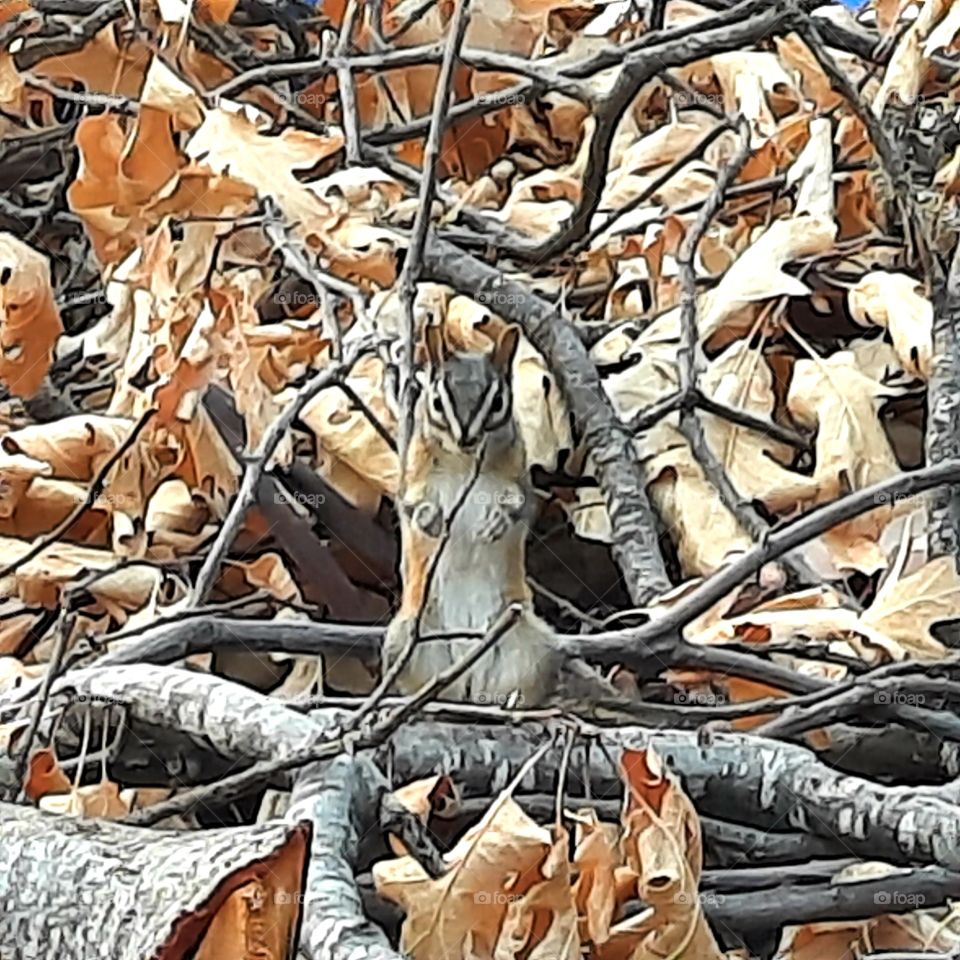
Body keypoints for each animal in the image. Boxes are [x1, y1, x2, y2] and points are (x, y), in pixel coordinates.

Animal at [382, 321, 666, 721]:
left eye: (498, 403)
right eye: (437, 402)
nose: (467, 438)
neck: (464, 462)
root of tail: (468, 680)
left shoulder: (519, 479)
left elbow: (518, 505)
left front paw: (496, 523)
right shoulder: (413, 475)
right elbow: (412, 506)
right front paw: (432, 521)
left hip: (531, 647)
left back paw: (516, 708)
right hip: (406, 643)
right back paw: (429, 705)